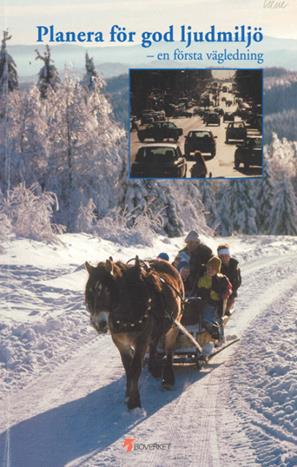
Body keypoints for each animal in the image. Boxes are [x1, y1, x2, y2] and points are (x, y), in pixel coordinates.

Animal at [84, 256, 184, 410]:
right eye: (89, 292)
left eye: (106, 290)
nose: (98, 324)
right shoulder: (120, 342)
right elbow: (128, 368)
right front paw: (127, 394)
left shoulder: (141, 339)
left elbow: (135, 368)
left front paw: (134, 401)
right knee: (154, 344)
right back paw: (154, 367)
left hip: (175, 324)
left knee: (169, 350)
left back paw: (168, 378)